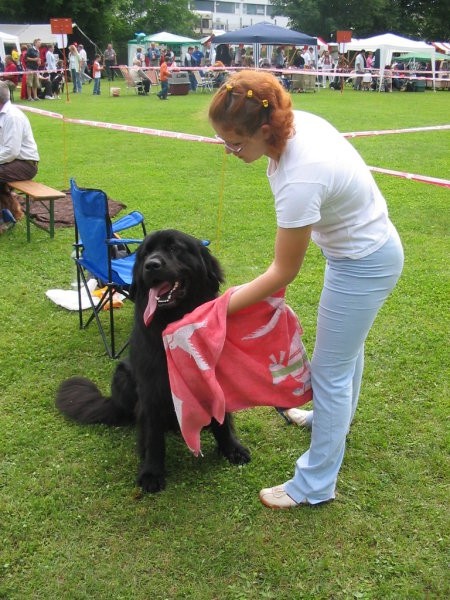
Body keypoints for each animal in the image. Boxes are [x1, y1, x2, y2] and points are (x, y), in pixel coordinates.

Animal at [55, 230, 251, 492]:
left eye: (175, 248)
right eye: (146, 253)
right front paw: (151, 472)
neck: (173, 321)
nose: (151, 265)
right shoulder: (151, 389)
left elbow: (223, 420)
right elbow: (153, 436)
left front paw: (231, 448)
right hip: (122, 375)